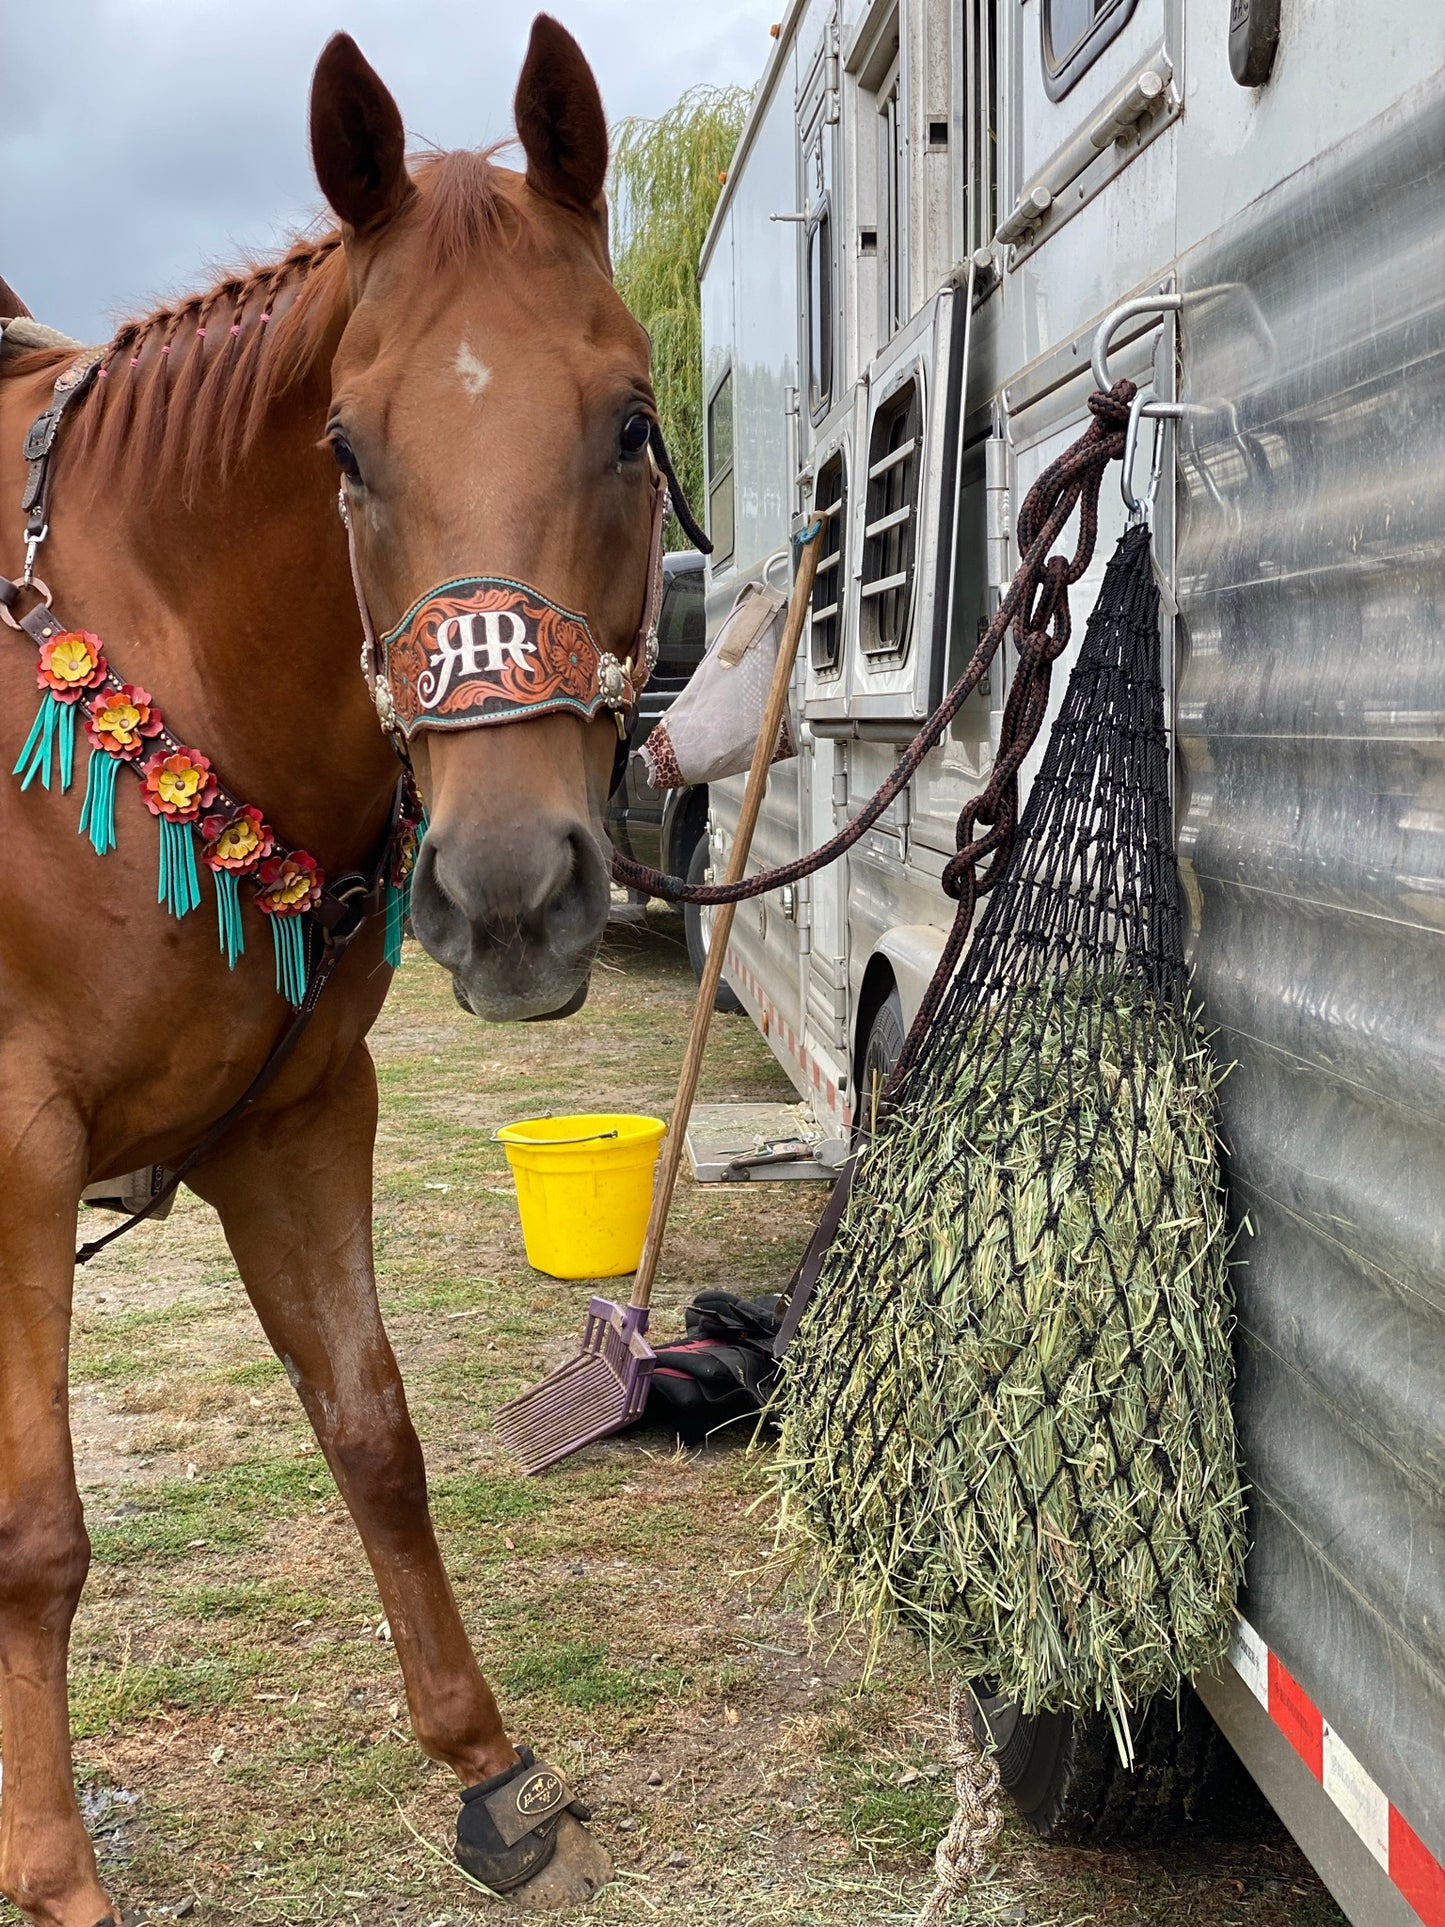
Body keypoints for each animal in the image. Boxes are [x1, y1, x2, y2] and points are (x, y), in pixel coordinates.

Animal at [0, 18, 658, 1927]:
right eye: (346, 450)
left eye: (631, 421)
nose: (510, 893)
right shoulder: (16, 1151)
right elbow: (39, 1532)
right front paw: (55, 1872)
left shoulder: (294, 1121)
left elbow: (373, 1429)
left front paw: (486, 1764)